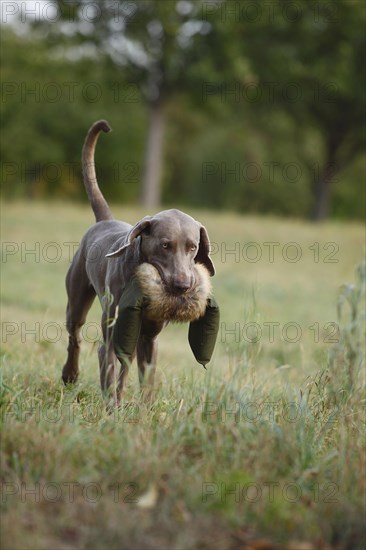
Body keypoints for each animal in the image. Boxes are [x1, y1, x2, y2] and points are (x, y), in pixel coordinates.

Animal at [61, 119, 216, 406]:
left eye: (193, 247)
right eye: (165, 245)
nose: (183, 286)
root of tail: (105, 219)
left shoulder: (149, 339)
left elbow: (147, 381)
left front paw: (143, 410)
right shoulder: (111, 339)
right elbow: (109, 370)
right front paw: (112, 408)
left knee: (126, 363)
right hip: (76, 301)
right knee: (74, 337)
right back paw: (70, 375)